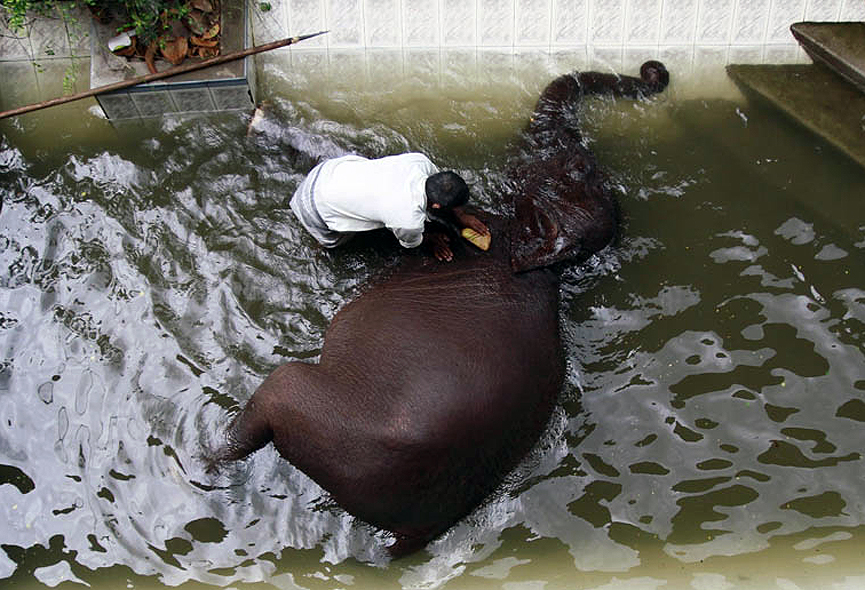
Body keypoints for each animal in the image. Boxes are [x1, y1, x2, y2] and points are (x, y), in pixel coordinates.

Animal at [213, 61, 670, 557]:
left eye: (576, 167)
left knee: (275, 392)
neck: (549, 264)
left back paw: (211, 458)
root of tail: (414, 531)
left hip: (318, 415)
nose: (654, 72)